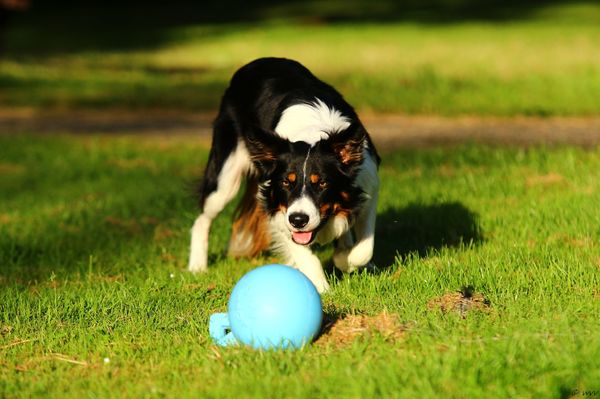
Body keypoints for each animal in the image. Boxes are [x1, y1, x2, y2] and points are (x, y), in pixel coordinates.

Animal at [189, 57, 380, 294]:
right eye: (286, 183)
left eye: (322, 183)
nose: (298, 220)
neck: (313, 134)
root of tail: (257, 62)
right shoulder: (276, 205)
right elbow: (303, 251)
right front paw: (320, 286)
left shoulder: (368, 186)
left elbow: (365, 248)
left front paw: (345, 259)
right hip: (225, 177)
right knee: (203, 219)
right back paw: (197, 266)